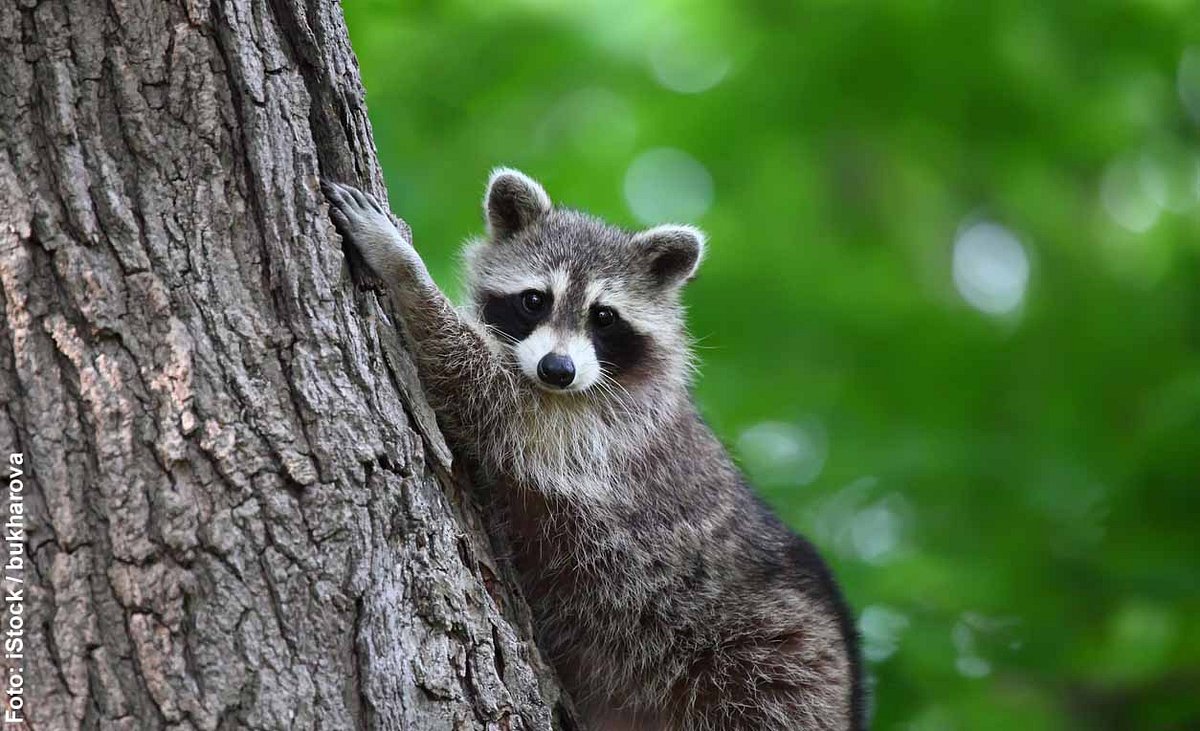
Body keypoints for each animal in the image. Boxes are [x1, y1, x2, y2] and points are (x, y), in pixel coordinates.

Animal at [321, 168, 864, 724]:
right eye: (534, 300)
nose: (557, 370)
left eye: (604, 317)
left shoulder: (602, 430)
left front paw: (404, 268)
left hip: (770, 673)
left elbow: (485, 390)